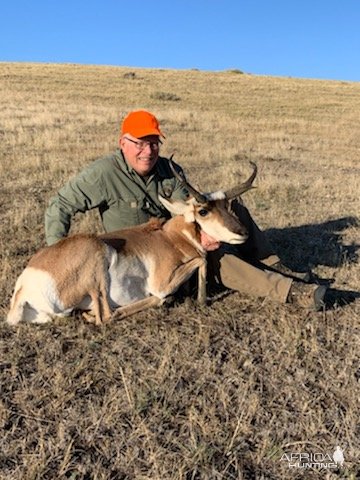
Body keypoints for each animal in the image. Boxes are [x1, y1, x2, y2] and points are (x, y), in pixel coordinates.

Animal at [7, 161, 258, 326]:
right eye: (203, 211)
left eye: (227, 206)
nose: (243, 232)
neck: (172, 237)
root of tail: (25, 284)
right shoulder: (162, 281)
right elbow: (201, 259)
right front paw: (199, 300)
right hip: (97, 259)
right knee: (108, 316)